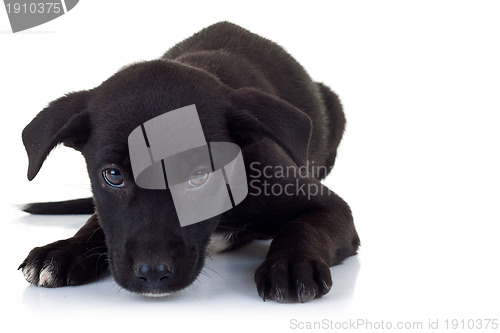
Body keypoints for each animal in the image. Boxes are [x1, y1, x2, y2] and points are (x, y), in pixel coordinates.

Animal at [19, 20, 360, 300]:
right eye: (113, 176)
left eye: (199, 176)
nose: (152, 274)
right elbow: (97, 222)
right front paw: (63, 251)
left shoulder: (328, 204)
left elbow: (303, 227)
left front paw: (291, 263)